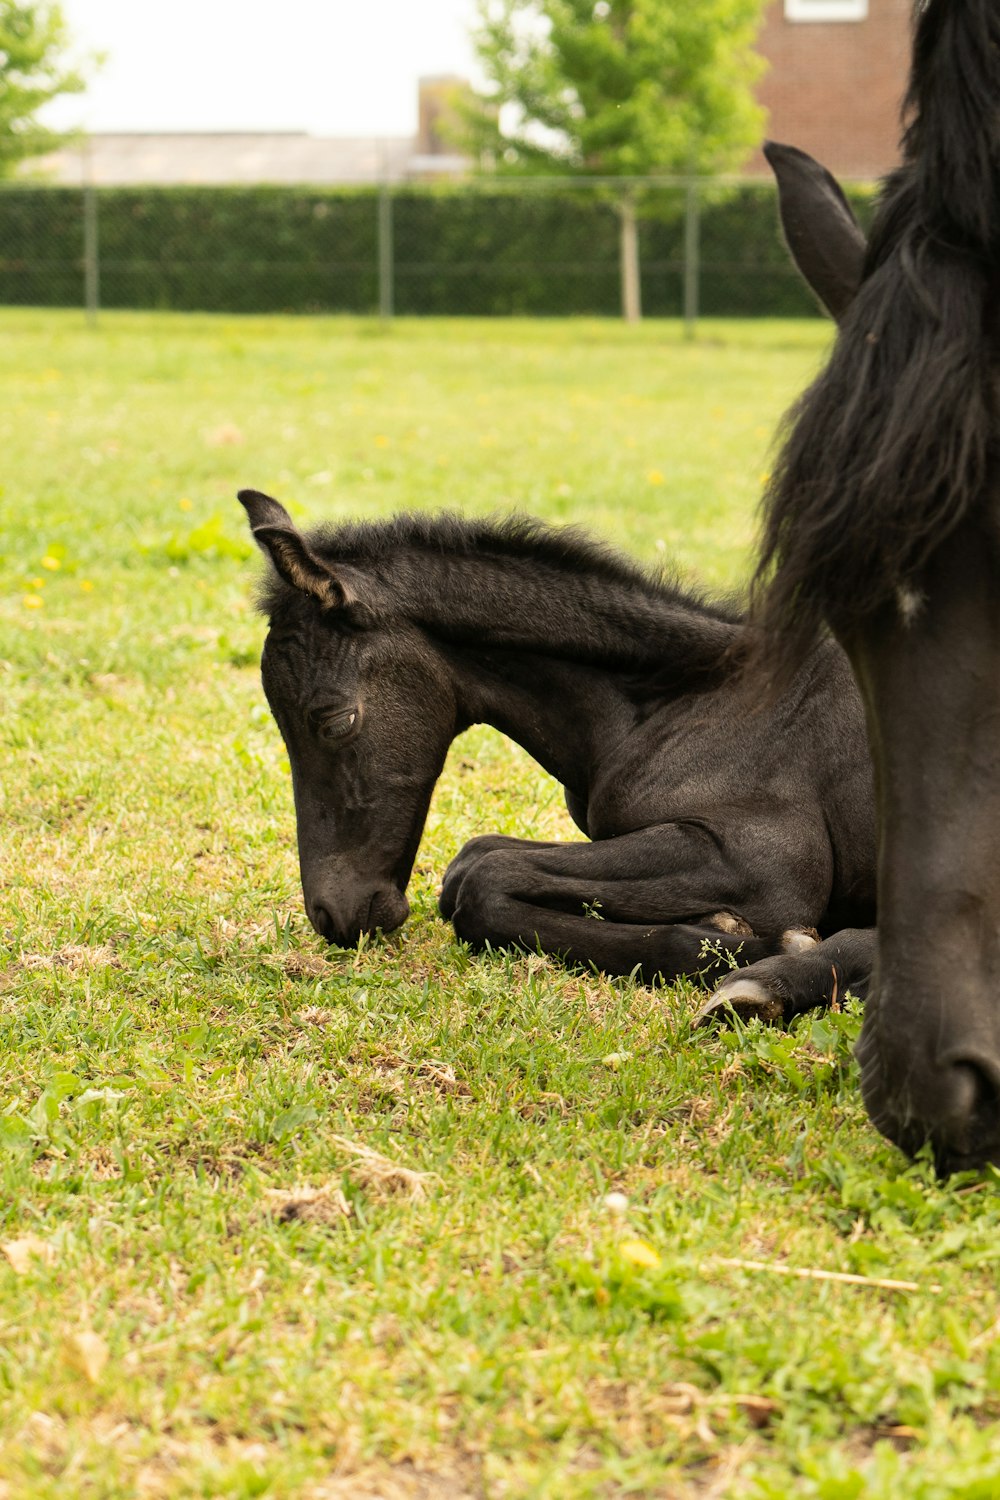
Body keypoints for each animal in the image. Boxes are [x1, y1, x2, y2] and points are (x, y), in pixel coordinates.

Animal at [239, 492, 875, 1002]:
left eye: (335, 720)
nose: (332, 914)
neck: (687, 700)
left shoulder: (764, 859)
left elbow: (483, 880)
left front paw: (745, 941)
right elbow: (470, 859)